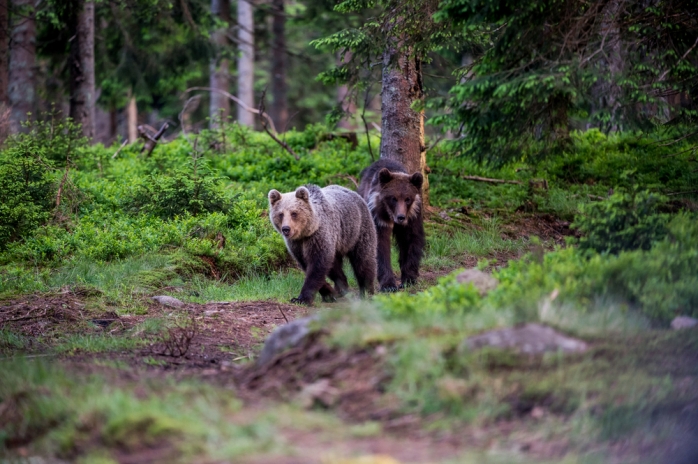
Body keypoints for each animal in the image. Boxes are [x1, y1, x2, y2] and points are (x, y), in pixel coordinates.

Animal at [358, 159, 424, 290]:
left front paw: (409, 278)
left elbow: (411, 241)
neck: (391, 215)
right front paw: (388, 284)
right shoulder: (378, 216)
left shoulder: (412, 217)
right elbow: (380, 244)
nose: (401, 217)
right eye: (393, 198)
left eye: (408, 199)